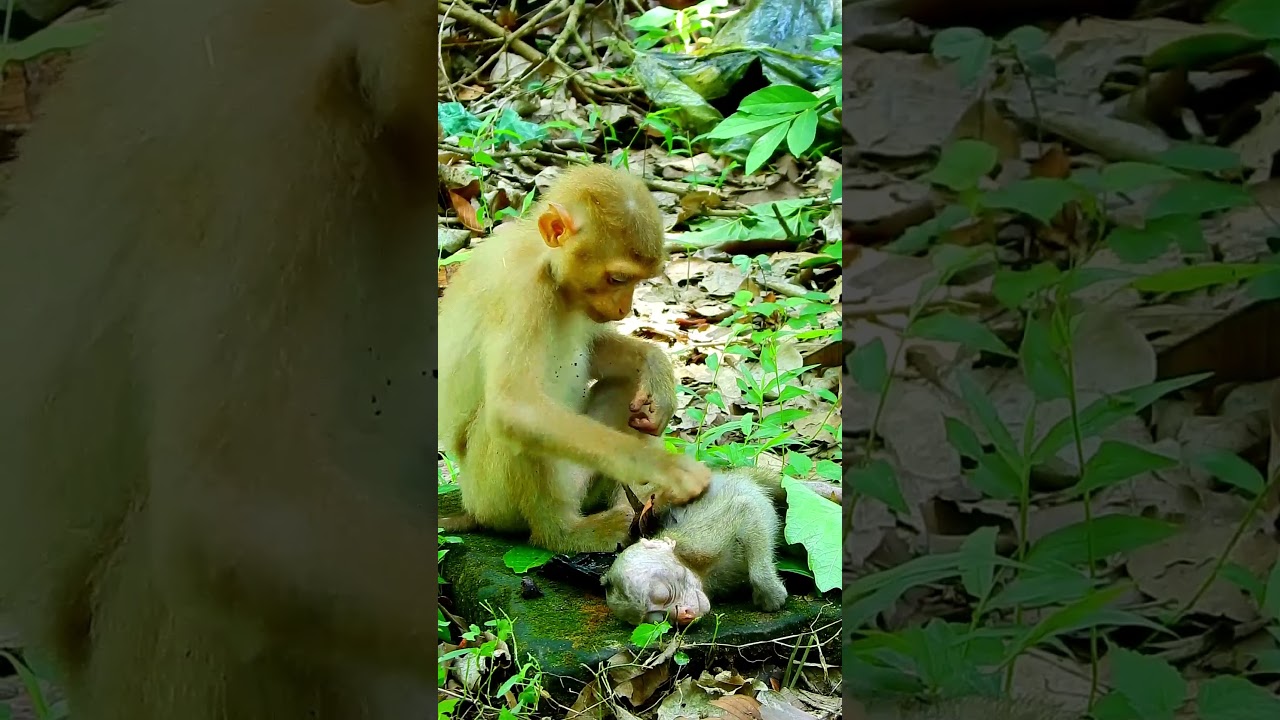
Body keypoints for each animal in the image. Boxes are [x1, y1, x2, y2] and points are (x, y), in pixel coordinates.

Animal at [437, 163, 713, 553]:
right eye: (618, 278)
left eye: (636, 282)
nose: (623, 308)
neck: (547, 269)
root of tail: (470, 508)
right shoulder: (521, 290)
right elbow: (514, 407)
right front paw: (660, 466)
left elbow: (598, 353)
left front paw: (656, 369)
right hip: (490, 498)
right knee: (512, 426)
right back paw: (563, 532)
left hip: (581, 479)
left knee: (624, 386)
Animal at [601, 466, 790, 626]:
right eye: (661, 618)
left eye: (666, 596)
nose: (684, 615)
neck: (696, 569)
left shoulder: (699, 544)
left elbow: (746, 508)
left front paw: (770, 594)